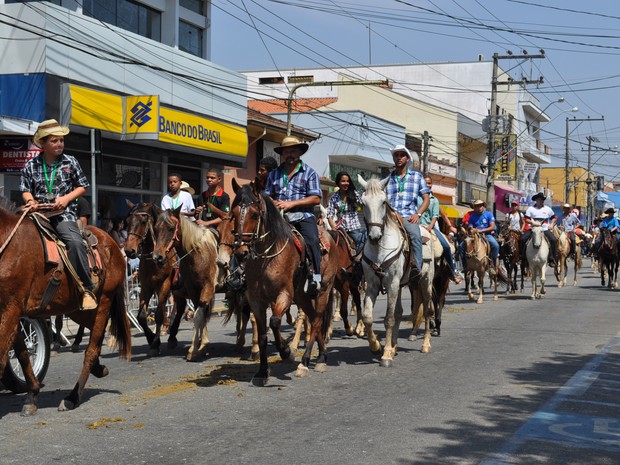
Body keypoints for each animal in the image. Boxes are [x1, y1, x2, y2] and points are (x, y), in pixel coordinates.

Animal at [0, 198, 130, 416]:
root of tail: (112, 243)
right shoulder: (13, 312)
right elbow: (23, 353)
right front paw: (32, 394)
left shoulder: (11, 308)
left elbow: (4, 354)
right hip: (77, 309)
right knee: (94, 337)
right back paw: (97, 367)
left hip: (104, 301)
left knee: (91, 349)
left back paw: (72, 398)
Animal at [123, 200, 186, 356]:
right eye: (128, 221)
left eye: (143, 221)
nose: (129, 250)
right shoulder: (146, 287)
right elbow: (141, 316)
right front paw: (151, 338)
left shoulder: (164, 285)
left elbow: (158, 315)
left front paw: (156, 343)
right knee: (179, 306)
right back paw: (171, 333)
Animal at [232, 182, 340, 384]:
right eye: (233, 214)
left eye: (254, 214)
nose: (241, 252)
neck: (266, 257)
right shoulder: (256, 301)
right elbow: (263, 335)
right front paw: (262, 371)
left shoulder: (284, 295)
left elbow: (274, 322)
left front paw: (286, 351)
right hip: (302, 295)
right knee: (313, 317)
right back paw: (322, 356)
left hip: (324, 290)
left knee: (316, 320)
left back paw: (305, 362)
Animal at [356, 174, 434, 366]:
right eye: (363, 202)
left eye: (383, 202)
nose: (374, 236)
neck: (380, 249)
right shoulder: (373, 285)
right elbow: (368, 317)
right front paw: (377, 346)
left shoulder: (391, 283)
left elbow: (389, 319)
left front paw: (385, 356)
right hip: (400, 285)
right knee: (399, 312)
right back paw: (394, 347)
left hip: (425, 281)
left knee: (427, 310)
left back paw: (425, 344)